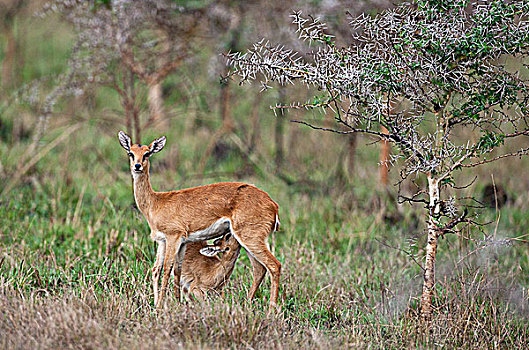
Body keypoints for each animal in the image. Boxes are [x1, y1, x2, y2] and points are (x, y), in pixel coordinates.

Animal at [116, 131, 280, 308]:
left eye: (147, 153)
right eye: (131, 153)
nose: (137, 166)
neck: (155, 203)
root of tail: (273, 205)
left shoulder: (173, 237)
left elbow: (166, 269)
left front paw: (160, 307)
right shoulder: (167, 241)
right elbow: (166, 270)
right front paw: (172, 303)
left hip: (251, 238)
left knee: (274, 266)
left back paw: (272, 309)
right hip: (246, 241)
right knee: (259, 269)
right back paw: (247, 305)